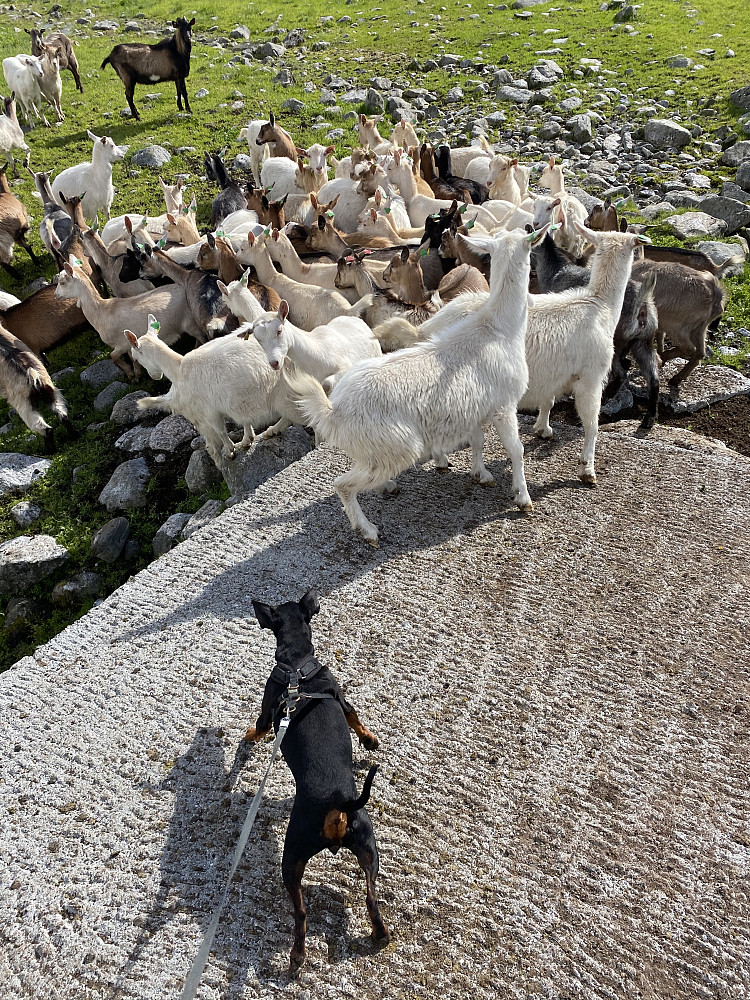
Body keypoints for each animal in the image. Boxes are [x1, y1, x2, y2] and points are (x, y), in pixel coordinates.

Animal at [0, 322, 70, 452]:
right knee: (62, 413)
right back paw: (74, 436)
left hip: (24, 404)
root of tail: (34, 378)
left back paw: (49, 451)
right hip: (51, 391)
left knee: (44, 427)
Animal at [55, 256, 206, 376]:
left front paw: (130, 374)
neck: (101, 311)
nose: (56, 295)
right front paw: (137, 374)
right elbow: (133, 357)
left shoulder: (121, 344)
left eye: (62, 282)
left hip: (191, 323)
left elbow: (113, 356)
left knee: (201, 337)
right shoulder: (128, 344)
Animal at [125, 316, 302, 464]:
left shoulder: (208, 413)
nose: (154, 376)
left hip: (285, 388)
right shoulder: (237, 402)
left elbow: (220, 432)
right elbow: (245, 420)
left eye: (136, 357)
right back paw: (272, 431)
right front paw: (246, 441)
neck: (178, 369)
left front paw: (229, 451)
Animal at [248, 588, 394, 964]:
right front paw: (370, 740)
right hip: (368, 847)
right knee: (371, 898)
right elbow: (357, 720)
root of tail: (338, 805)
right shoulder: (343, 700)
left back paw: (297, 957)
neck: (298, 665)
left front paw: (246, 738)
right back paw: (380, 935)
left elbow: (258, 727)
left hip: (291, 859)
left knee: (300, 913)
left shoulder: (267, 709)